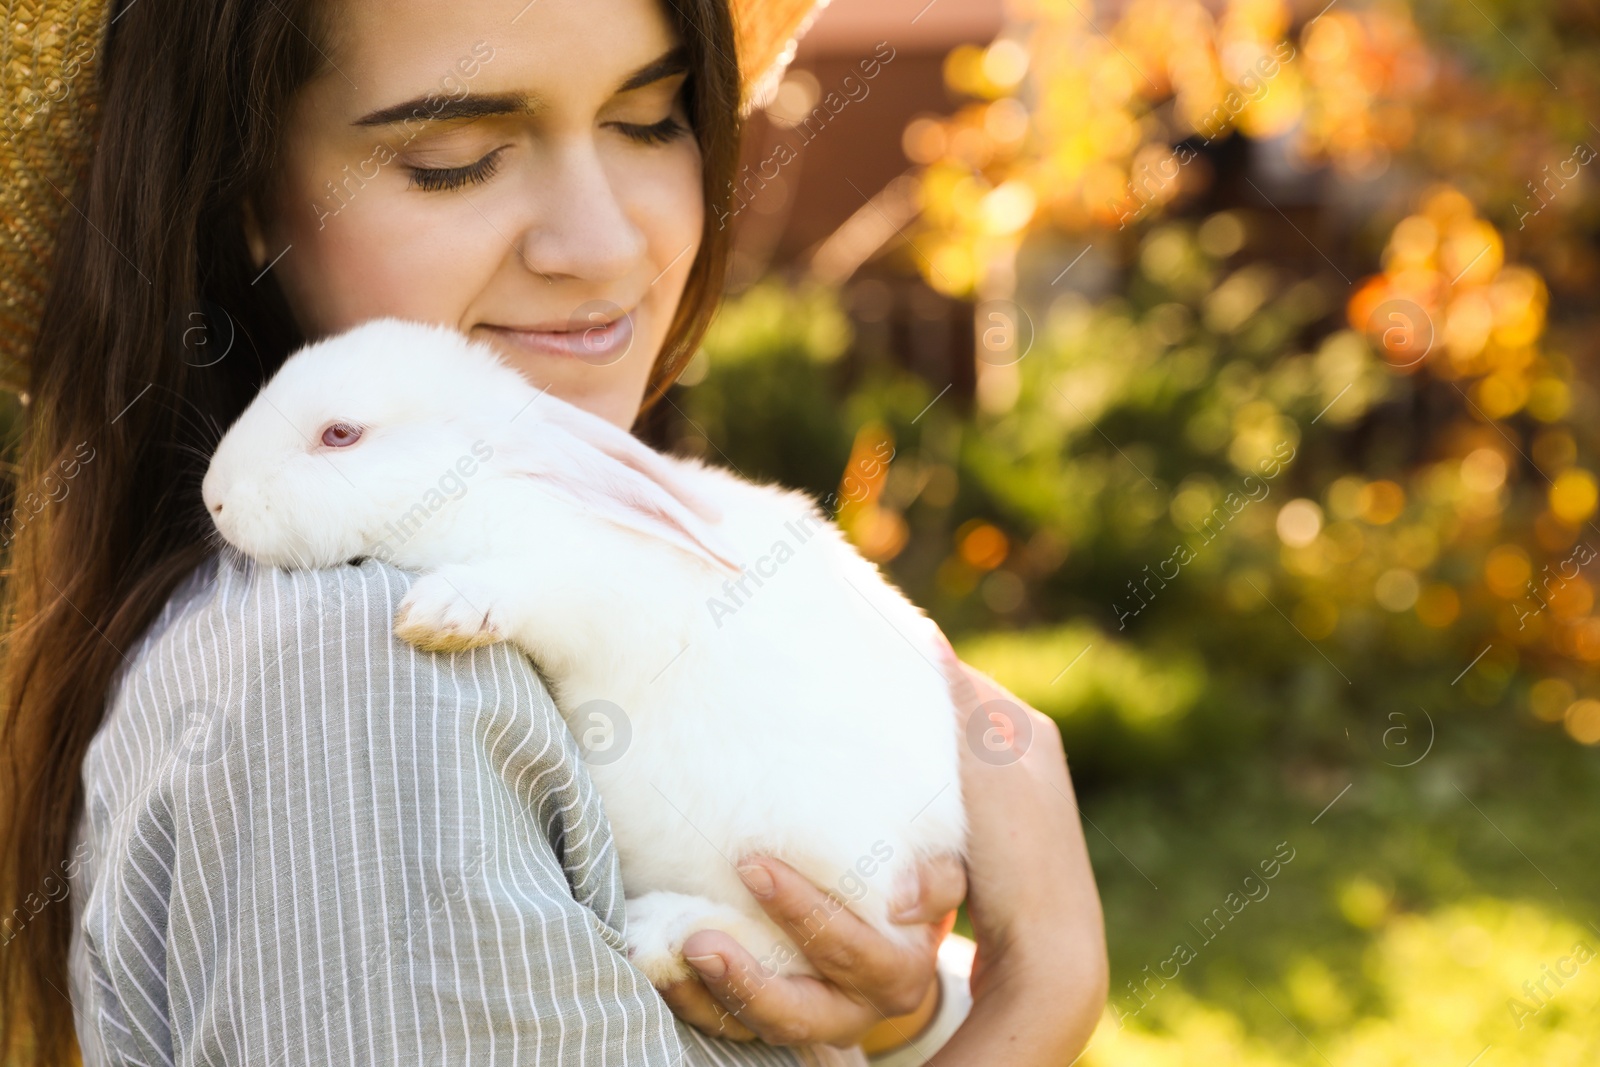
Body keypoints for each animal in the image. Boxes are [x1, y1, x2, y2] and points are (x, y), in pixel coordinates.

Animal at [206, 321, 966, 991]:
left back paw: (663, 934)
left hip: (805, 857)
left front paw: (443, 613)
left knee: (796, 945)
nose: (214, 498)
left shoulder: (600, 585)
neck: (476, 489)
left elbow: (540, 583)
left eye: (340, 434)